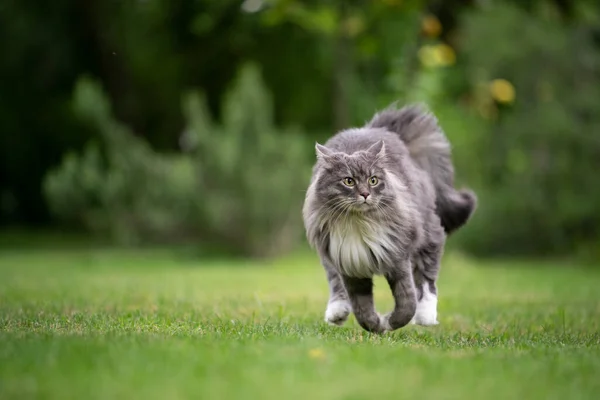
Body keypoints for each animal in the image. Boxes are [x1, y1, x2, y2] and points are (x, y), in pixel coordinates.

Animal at [302, 104, 476, 334]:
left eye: (373, 180)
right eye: (348, 181)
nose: (365, 194)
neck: (359, 224)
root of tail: (378, 128)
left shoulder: (398, 259)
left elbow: (406, 304)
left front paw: (390, 323)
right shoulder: (350, 265)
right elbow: (363, 310)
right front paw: (377, 325)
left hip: (429, 235)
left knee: (427, 279)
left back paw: (426, 316)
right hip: (329, 256)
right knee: (335, 284)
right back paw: (337, 312)